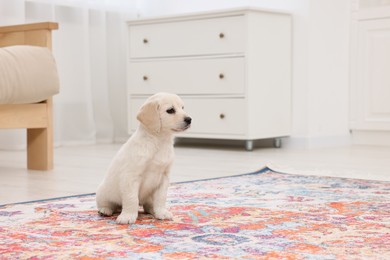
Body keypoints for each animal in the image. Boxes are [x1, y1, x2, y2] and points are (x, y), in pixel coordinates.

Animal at [96, 93, 190, 223]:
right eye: (170, 110)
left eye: (182, 107)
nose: (189, 119)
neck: (158, 142)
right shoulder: (131, 176)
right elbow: (132, 199)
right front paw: (128, 216)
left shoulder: (164, 177)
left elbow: (161, 198)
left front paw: (161, 212)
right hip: (103, 192)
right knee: (108, 204)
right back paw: (105, 210)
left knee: (147, 205)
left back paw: (152, 210)